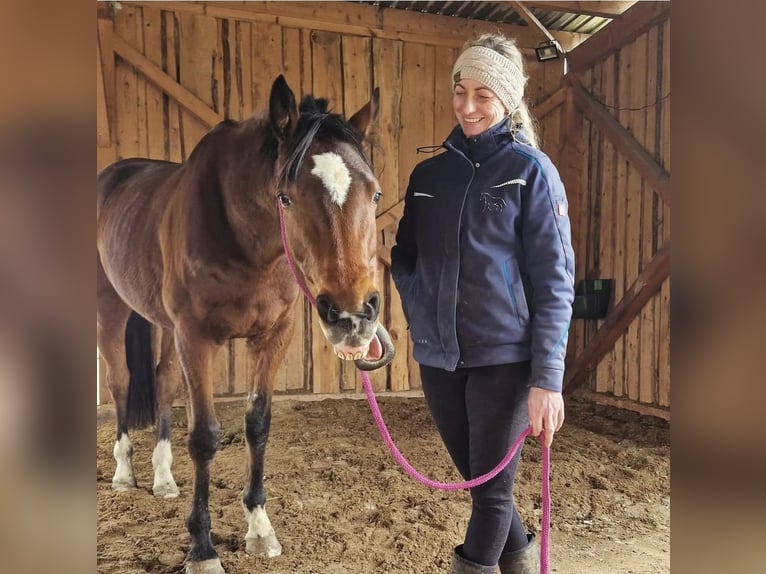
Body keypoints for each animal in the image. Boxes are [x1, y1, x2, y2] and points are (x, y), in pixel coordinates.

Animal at [97, 75, 395, 574]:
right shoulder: (196, 339)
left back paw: (162, 479)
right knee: (120, 383)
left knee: (161, 385)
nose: (353, 314)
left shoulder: (272, 337)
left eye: (374, 193)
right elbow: (204, 436)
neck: (242, 238)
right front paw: (202, 547)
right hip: (112, 309)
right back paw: (123, 473)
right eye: (286, 197)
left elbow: (258, 424)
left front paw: (259, 528)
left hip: (161, 326)